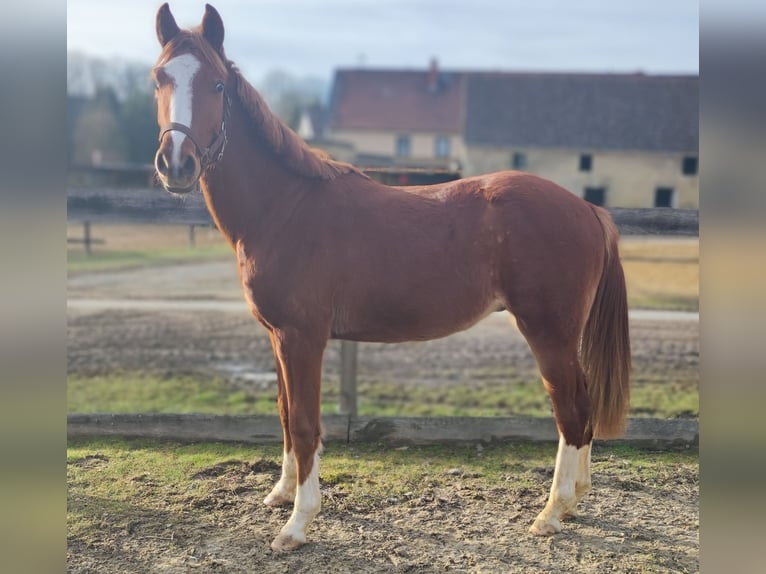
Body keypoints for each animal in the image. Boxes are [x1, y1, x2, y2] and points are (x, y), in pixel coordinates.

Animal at [153, 3, 632, 552]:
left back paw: (551, 513)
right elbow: (284, 412)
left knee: (570, 411)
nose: (176, 163)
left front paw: (297, 523)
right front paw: (280, 493)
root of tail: (588, 209)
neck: (284, 206)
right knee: (584, 407)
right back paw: (575, 501)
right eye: (158, 78)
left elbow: (305, 423)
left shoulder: (302, 338)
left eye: (215, 84)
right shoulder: (276, 337)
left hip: (549, 333)